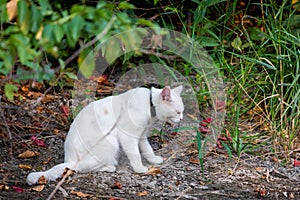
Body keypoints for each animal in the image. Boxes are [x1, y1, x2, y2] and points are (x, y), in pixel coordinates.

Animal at [27, 85, 184, 185]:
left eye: (182, 111)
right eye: (178, 112)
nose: (181, 118)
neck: (149, 104)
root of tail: (70, 159)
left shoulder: (141, 135)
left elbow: (147, 149)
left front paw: (154, 160)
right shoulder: (128, 136)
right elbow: (135, 154)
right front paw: (139, 168)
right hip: (111, 141)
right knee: (81, 168)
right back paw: (109, 167)